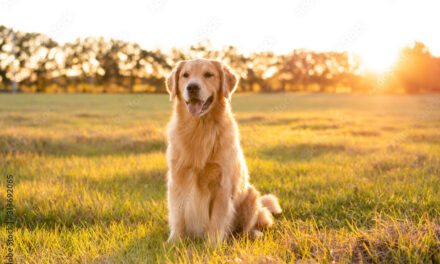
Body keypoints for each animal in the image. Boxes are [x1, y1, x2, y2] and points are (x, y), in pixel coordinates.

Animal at [165, 58, 282, 243]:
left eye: (208, 74)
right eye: (185, 75)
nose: (192, 87)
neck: (200, 128)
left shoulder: (222, 185)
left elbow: (217, 220)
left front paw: (213, 245)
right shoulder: (177, 180)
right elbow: (178, 216)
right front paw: (175, 242)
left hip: (251, 196)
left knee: (248, 227)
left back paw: (253, 234)